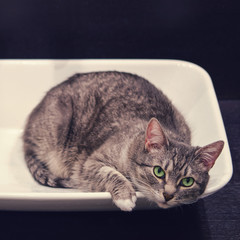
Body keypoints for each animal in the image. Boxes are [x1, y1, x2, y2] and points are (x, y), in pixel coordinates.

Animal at [22, 70, 223, 211]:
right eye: (158, 172)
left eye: (187, 182)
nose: (168, 195)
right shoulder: (89, 164)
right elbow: (111, 174)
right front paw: (125, 196)